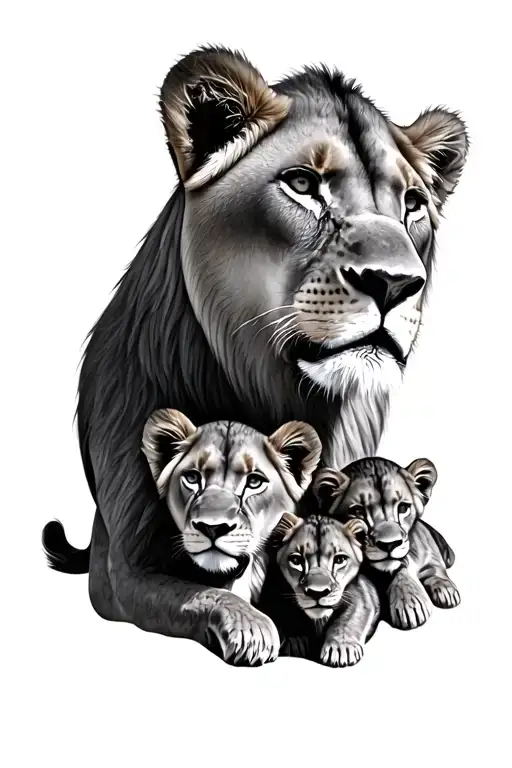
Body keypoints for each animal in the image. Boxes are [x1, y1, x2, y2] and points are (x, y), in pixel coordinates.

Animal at [259, 514, 379, 667]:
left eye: (340, 559)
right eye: (296, 560)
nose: (317, 592)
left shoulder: (361, 593)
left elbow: (349, 618)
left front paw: (341, 647)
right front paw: (294, 642)